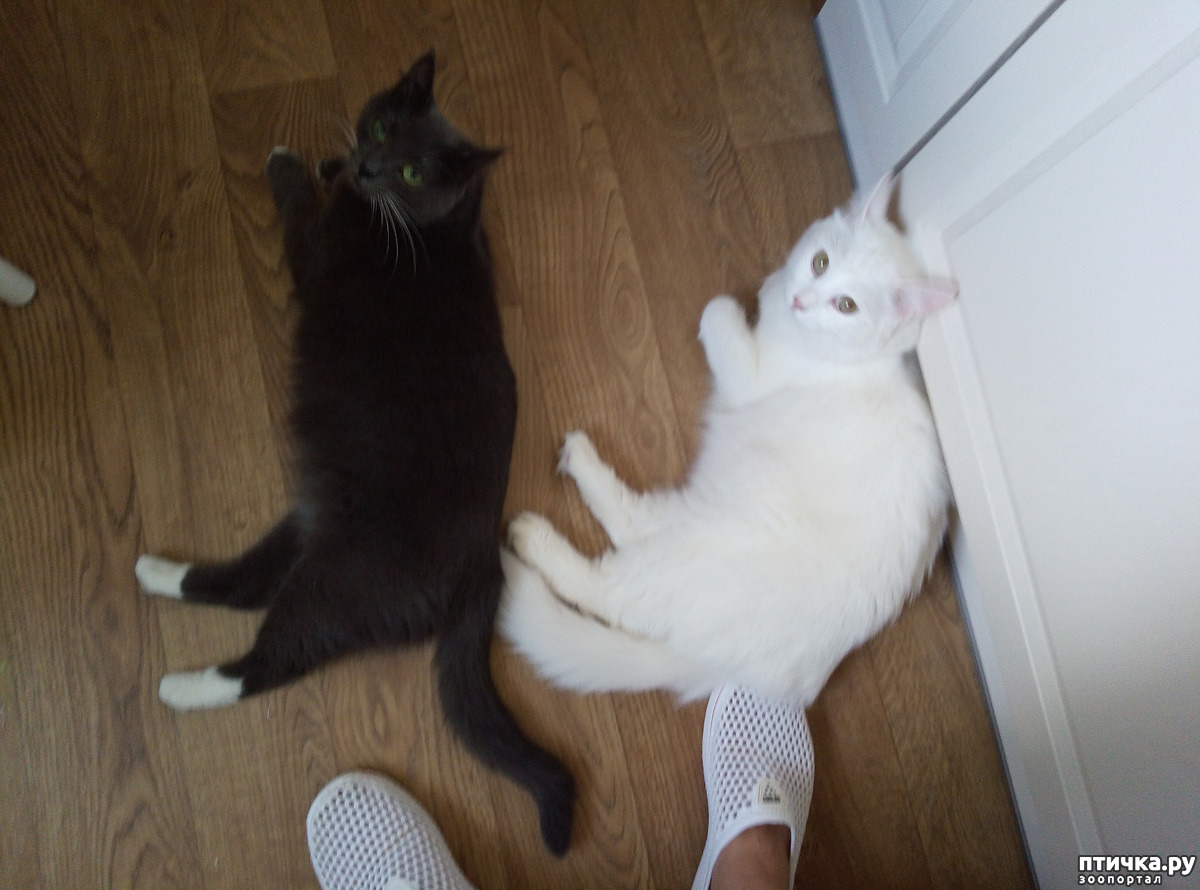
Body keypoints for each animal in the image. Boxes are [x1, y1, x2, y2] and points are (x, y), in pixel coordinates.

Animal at [134, 52, 575, 855]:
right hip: (316, 517)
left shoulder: (318, 251)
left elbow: (298, 213)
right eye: (379, 128)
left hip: (341, 580)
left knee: (276, 658)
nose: (368, 165)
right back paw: (157, 570)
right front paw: (326, 161)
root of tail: (482, 563)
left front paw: (288, 163)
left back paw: (179, 687)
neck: (434, 228)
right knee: (246, 584)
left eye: (412, 171)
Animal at [500, 173, 956, 708]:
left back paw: (539, 525)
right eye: (821, 262)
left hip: (691, 545)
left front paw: (743, 301)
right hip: (691, 516)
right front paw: (767, 289)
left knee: (610, 577)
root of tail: (751, 675)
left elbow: (716, 310)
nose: (801, 299)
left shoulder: (748, 378)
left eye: (847, 306)